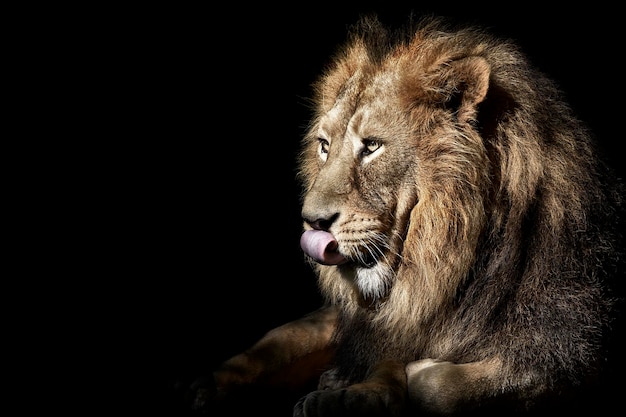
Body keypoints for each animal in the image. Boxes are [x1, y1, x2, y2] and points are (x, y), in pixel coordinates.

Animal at [190, 13, 624, 416]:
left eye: (372, 146)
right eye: (324, 146)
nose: (311, 221)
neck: (453, 270)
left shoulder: (571, 354)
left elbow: (435, 386)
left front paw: (381, 383)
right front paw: (349, 389)